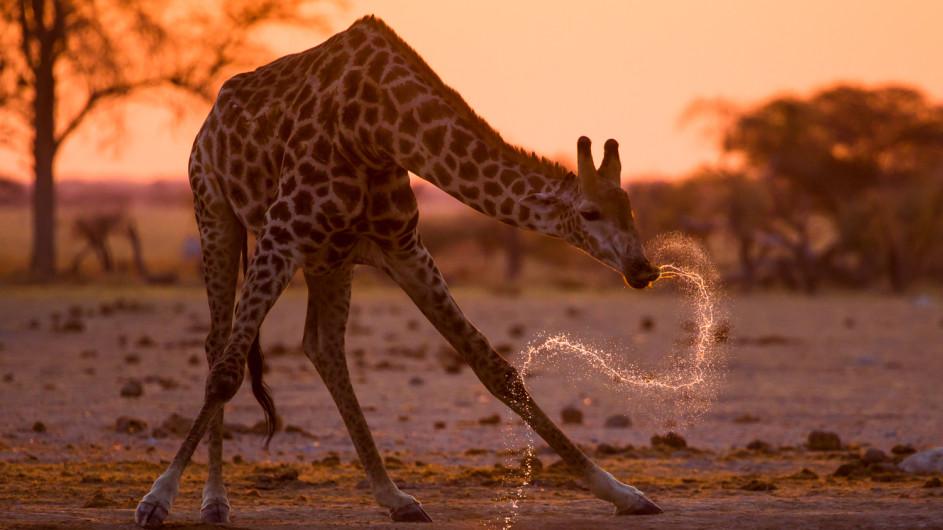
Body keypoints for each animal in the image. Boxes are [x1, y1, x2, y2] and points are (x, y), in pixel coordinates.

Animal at [135, 13, 664, 524]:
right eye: (591, 213)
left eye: (631, 209)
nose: (642, 269)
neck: (377, 128)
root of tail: (209, 119)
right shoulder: (281, 234)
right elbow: (226, 374)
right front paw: (157, 498)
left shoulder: (404, 246)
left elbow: (495, 368)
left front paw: (622, 492)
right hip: (215, 213)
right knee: (219, 345)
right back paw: (214, 501)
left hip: (329, 258)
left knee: (323, 347)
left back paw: (395, 497)